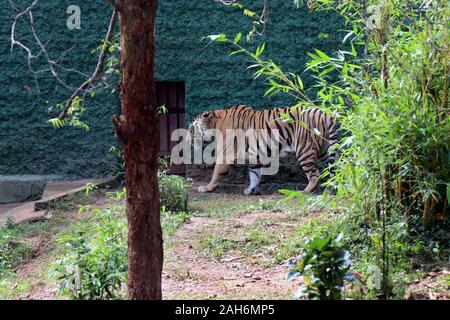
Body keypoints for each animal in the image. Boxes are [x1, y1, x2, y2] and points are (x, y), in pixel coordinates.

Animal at [188, 105, 340, 195]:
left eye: (192, 128)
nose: (187, 139)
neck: (216, 123)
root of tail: (325, 115)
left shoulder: (226, 154)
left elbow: (216, 173)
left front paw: (207, 188)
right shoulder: (253, 155)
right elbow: (255, 174)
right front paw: (250, 190)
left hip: (304, 149)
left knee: (315, 175)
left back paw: (303, 192)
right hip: (325, 150)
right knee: (338, 167)